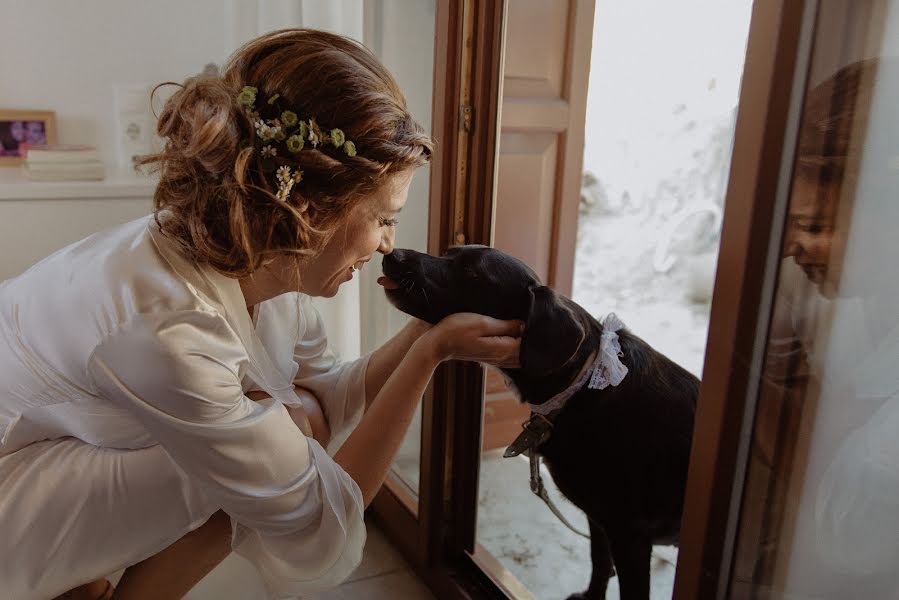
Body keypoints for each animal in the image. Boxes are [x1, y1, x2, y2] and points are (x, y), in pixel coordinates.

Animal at [378, 245, 696, 600]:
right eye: (448, 253)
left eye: (473, 273)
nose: (392, 253)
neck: (583, 383)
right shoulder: (600, 520)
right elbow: (600, 561)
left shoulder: (629, 535)